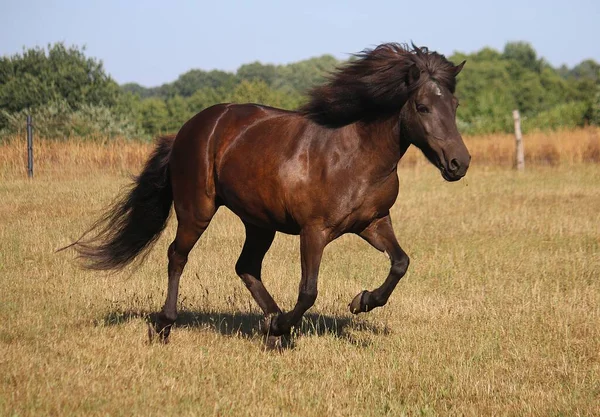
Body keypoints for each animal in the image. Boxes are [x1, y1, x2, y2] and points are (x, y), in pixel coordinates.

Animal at [70, 44, 472, 346]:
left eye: (454, 106)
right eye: (422, 107)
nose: (459, 163)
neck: (355, 156)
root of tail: (188, 129)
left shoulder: (373, 222)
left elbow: (401, 263)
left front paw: (361, 302)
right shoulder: (314, 231)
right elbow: (309, 291)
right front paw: (287, 325)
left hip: (259, 223)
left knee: (245, 266)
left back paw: (271, 325)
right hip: (197, 210)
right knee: (177, 256)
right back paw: (167, 326)